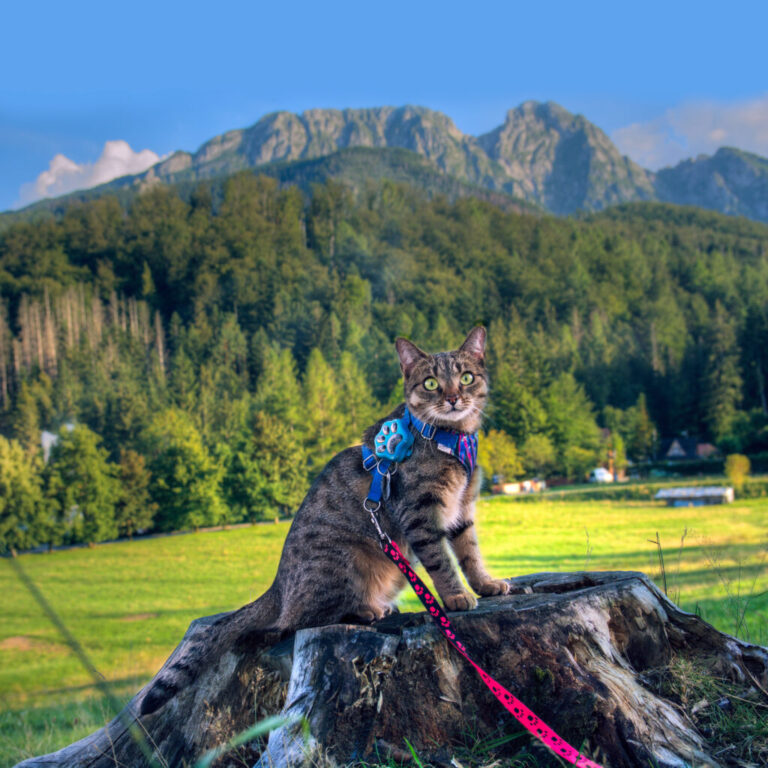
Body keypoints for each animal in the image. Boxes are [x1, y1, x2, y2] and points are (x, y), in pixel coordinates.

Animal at [140, 328, 508, 716]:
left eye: (465, 378)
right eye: (431, 383)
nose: (452, 398)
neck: (451, 437)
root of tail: (277, 586)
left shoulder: (462, 509)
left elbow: (469, 553)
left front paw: (485, 584)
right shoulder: (421, 513)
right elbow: (442, 562)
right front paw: (456, 597)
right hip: (345, 563)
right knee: (295, 621)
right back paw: (365, 609)